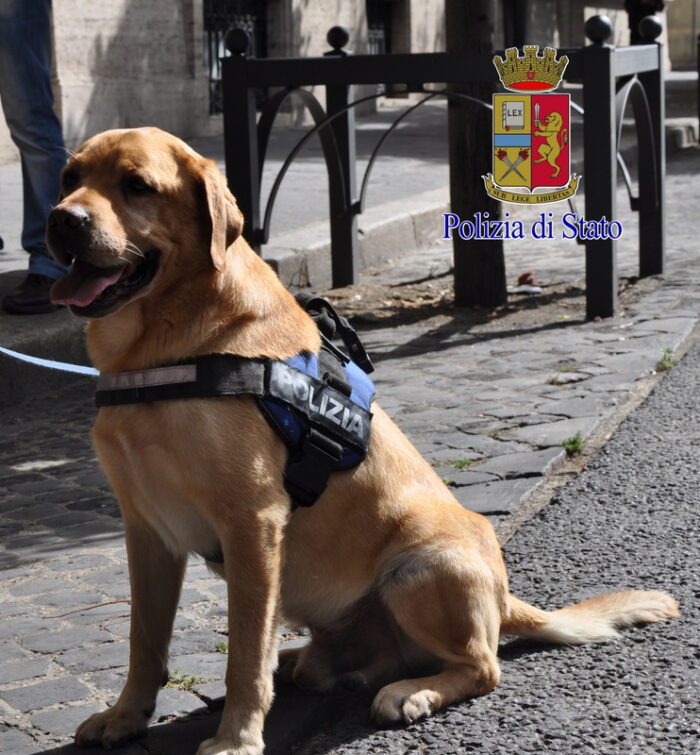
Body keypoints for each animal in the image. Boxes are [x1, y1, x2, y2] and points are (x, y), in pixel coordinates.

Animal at [47, 130, 680, 755]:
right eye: (69, 178)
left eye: (137, 186)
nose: (60, 220)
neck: (157, 353)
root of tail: (504, 598)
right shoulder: (146, 531)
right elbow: (145, 641)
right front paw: (126, 717)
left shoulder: (252, 522)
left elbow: (243, 652)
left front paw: (236, 739)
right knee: (354, 662)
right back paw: (310, 664)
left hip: (418, 568)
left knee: (482, 666)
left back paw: (409, 692)